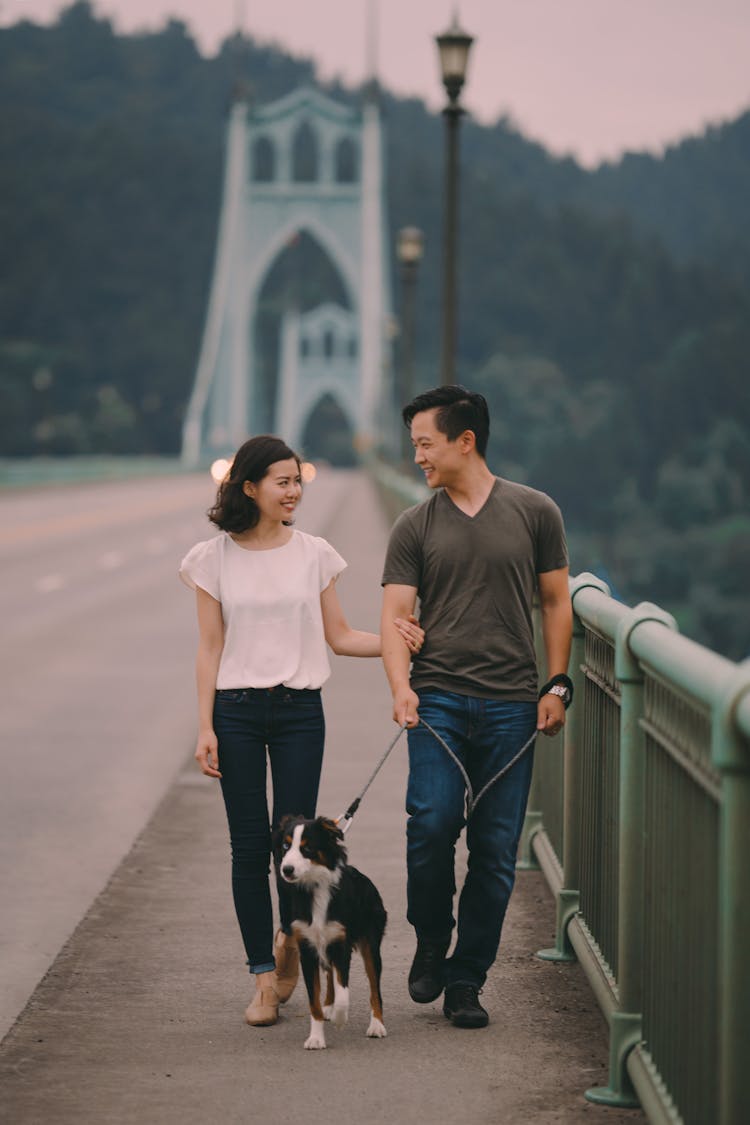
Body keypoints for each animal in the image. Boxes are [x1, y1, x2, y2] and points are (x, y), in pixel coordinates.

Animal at [273, 819, 386, 1044]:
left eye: (307, 848)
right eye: (285, 845)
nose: (286, 869)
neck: (315, 887)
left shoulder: (341, 944)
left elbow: (344, 992)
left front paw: (339, 1019)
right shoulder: (307, 949)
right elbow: (314, 1001)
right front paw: (316, 1038)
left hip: (371, 945)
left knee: (374, 989)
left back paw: (377, 1025)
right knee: (329, 976)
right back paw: (328, 1006)